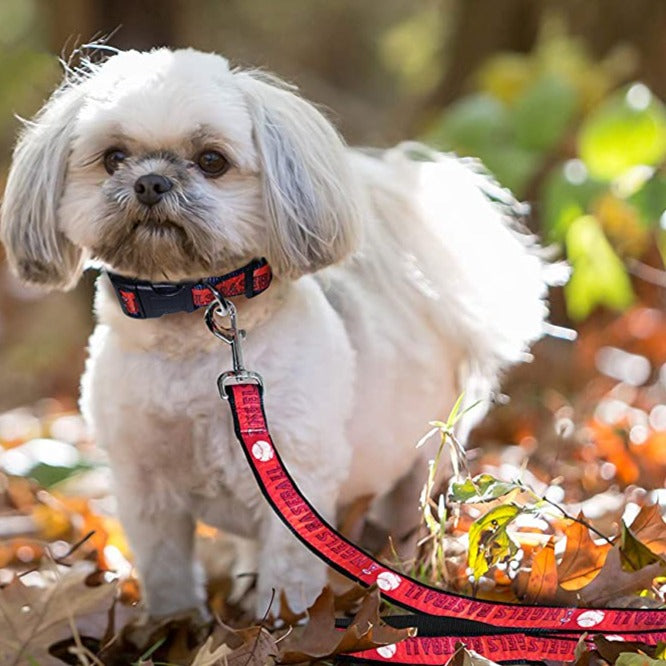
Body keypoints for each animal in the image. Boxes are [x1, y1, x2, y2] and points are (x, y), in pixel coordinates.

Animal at [0, 46, 548, 616]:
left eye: (212, 161)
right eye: (113, 157)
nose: (150, 182)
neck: (188, 327)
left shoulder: (296, 480)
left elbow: (287, 576)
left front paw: (281, 624)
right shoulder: (144, 488)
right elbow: (167, 573)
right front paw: (175, 624)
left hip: (421, 460)